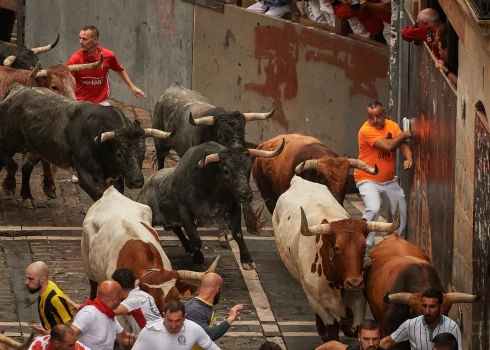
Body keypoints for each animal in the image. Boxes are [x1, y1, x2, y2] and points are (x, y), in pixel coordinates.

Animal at [0, 83, 172, 204]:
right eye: (119, 154)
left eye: (143, 153)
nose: (137, 181)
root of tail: (17, 89)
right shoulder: (88, 175)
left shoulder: (115, 178)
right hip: (7, 143)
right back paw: (9, 186)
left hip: (35, 147)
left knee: (26, 166)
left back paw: (27, 196)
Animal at [138, 140, 284, 270]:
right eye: (226, 171)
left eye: (249, 169)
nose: (246, 195)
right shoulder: (184, 210)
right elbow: (196, 240)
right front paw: (197, 257)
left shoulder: (235, 206)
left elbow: (237, 233)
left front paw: (247, 260)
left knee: (177, 229)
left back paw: (187, 247)